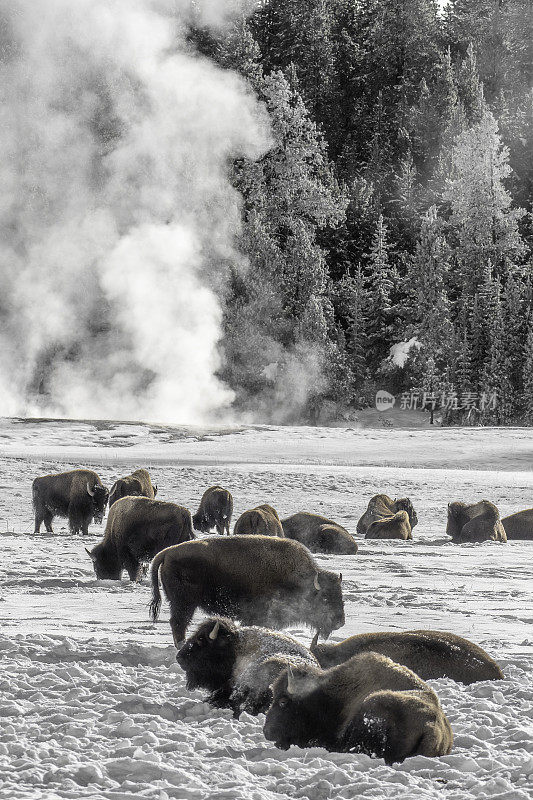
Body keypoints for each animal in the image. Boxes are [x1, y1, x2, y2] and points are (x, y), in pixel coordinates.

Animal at [149, 536, 344, 648]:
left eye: (340, 596)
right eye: (325, 598)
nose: (340, 622)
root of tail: (167, 553)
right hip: (184, 603)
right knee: (178, 623)